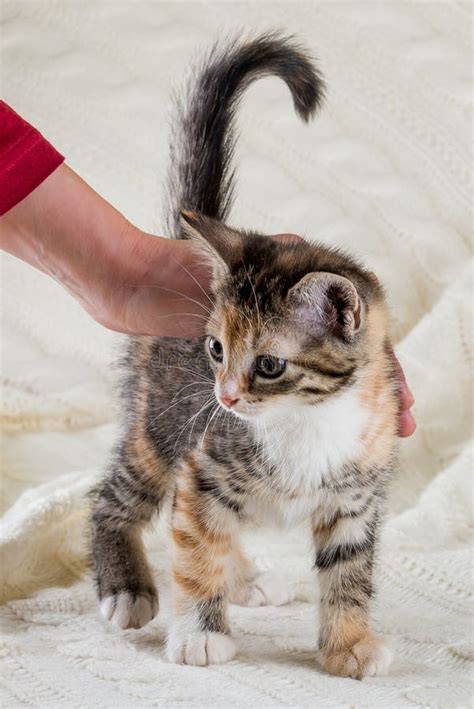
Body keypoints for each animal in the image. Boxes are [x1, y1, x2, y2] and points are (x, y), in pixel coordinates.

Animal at [90, 33, 400, 676]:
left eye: (270, 365)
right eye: (215, 349)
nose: (226, 395)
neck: (307, 421)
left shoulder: (357, 496)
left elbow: (350, 571)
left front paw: (349, 643)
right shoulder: (202, 464)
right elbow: (194, 551)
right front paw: (199, 634)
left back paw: (246, 578)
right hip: (159, 426)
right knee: (121, 497)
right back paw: (126, 585)